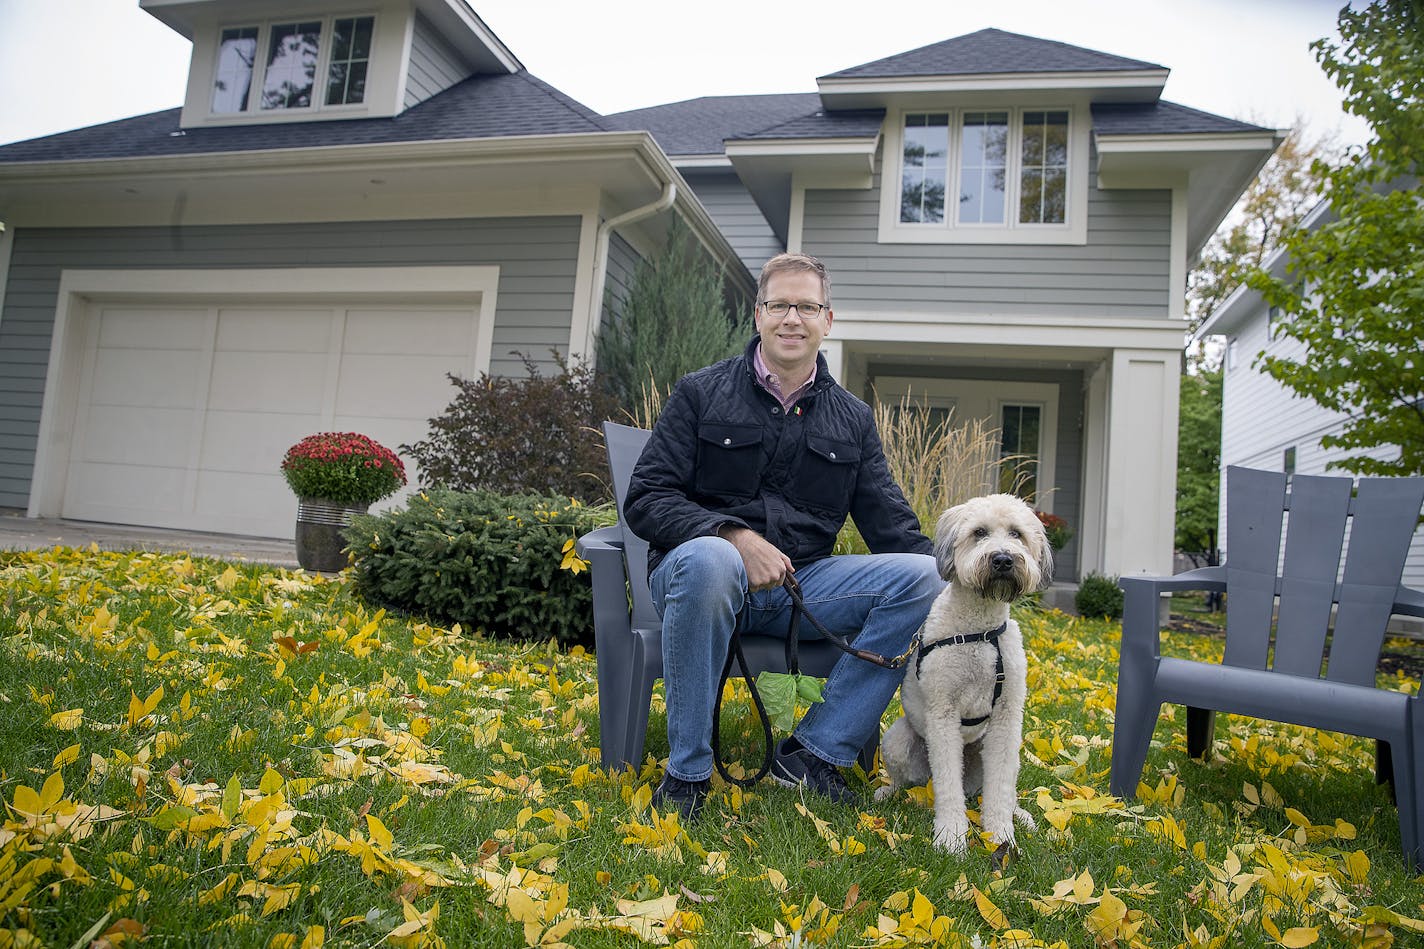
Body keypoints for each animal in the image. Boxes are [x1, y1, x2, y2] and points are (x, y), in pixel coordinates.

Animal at [871, 490, 1053, 854]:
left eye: (1016, 534)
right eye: (979, 532)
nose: (1002, 560)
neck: (979, 633)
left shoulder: (1006, 719)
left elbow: (1000, 789)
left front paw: (1001, 836)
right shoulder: (943, 714)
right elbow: (948, 786)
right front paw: (951, 836)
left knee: (992, 790)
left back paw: (1020, 814)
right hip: (897, 740)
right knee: (909, 783)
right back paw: (888, 793)